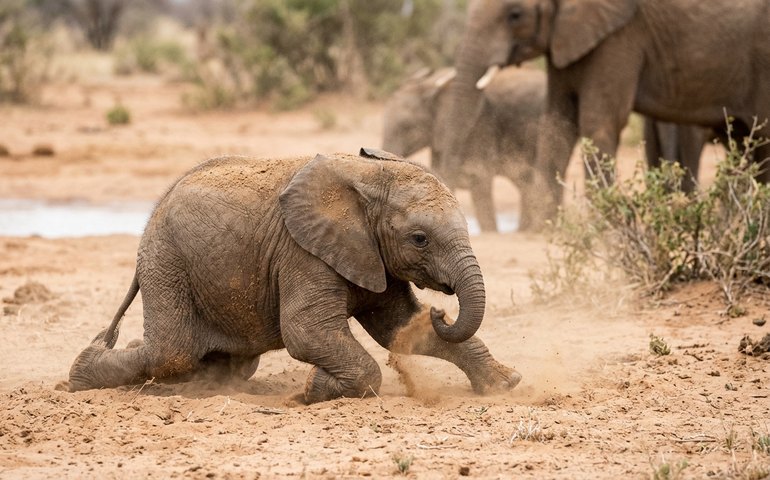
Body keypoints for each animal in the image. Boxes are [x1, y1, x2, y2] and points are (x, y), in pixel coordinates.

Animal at [57, 148, 520, 404]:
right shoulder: (302, 251)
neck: (369, 177)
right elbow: (306, 332)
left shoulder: (368, 253)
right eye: (420, 239)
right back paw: (82, 372)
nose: (442, 310)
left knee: (225, 364)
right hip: (166, 260)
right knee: (170, 352)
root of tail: (155, 209)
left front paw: (505, 385)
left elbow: (398, 326)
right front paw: (317, 388)